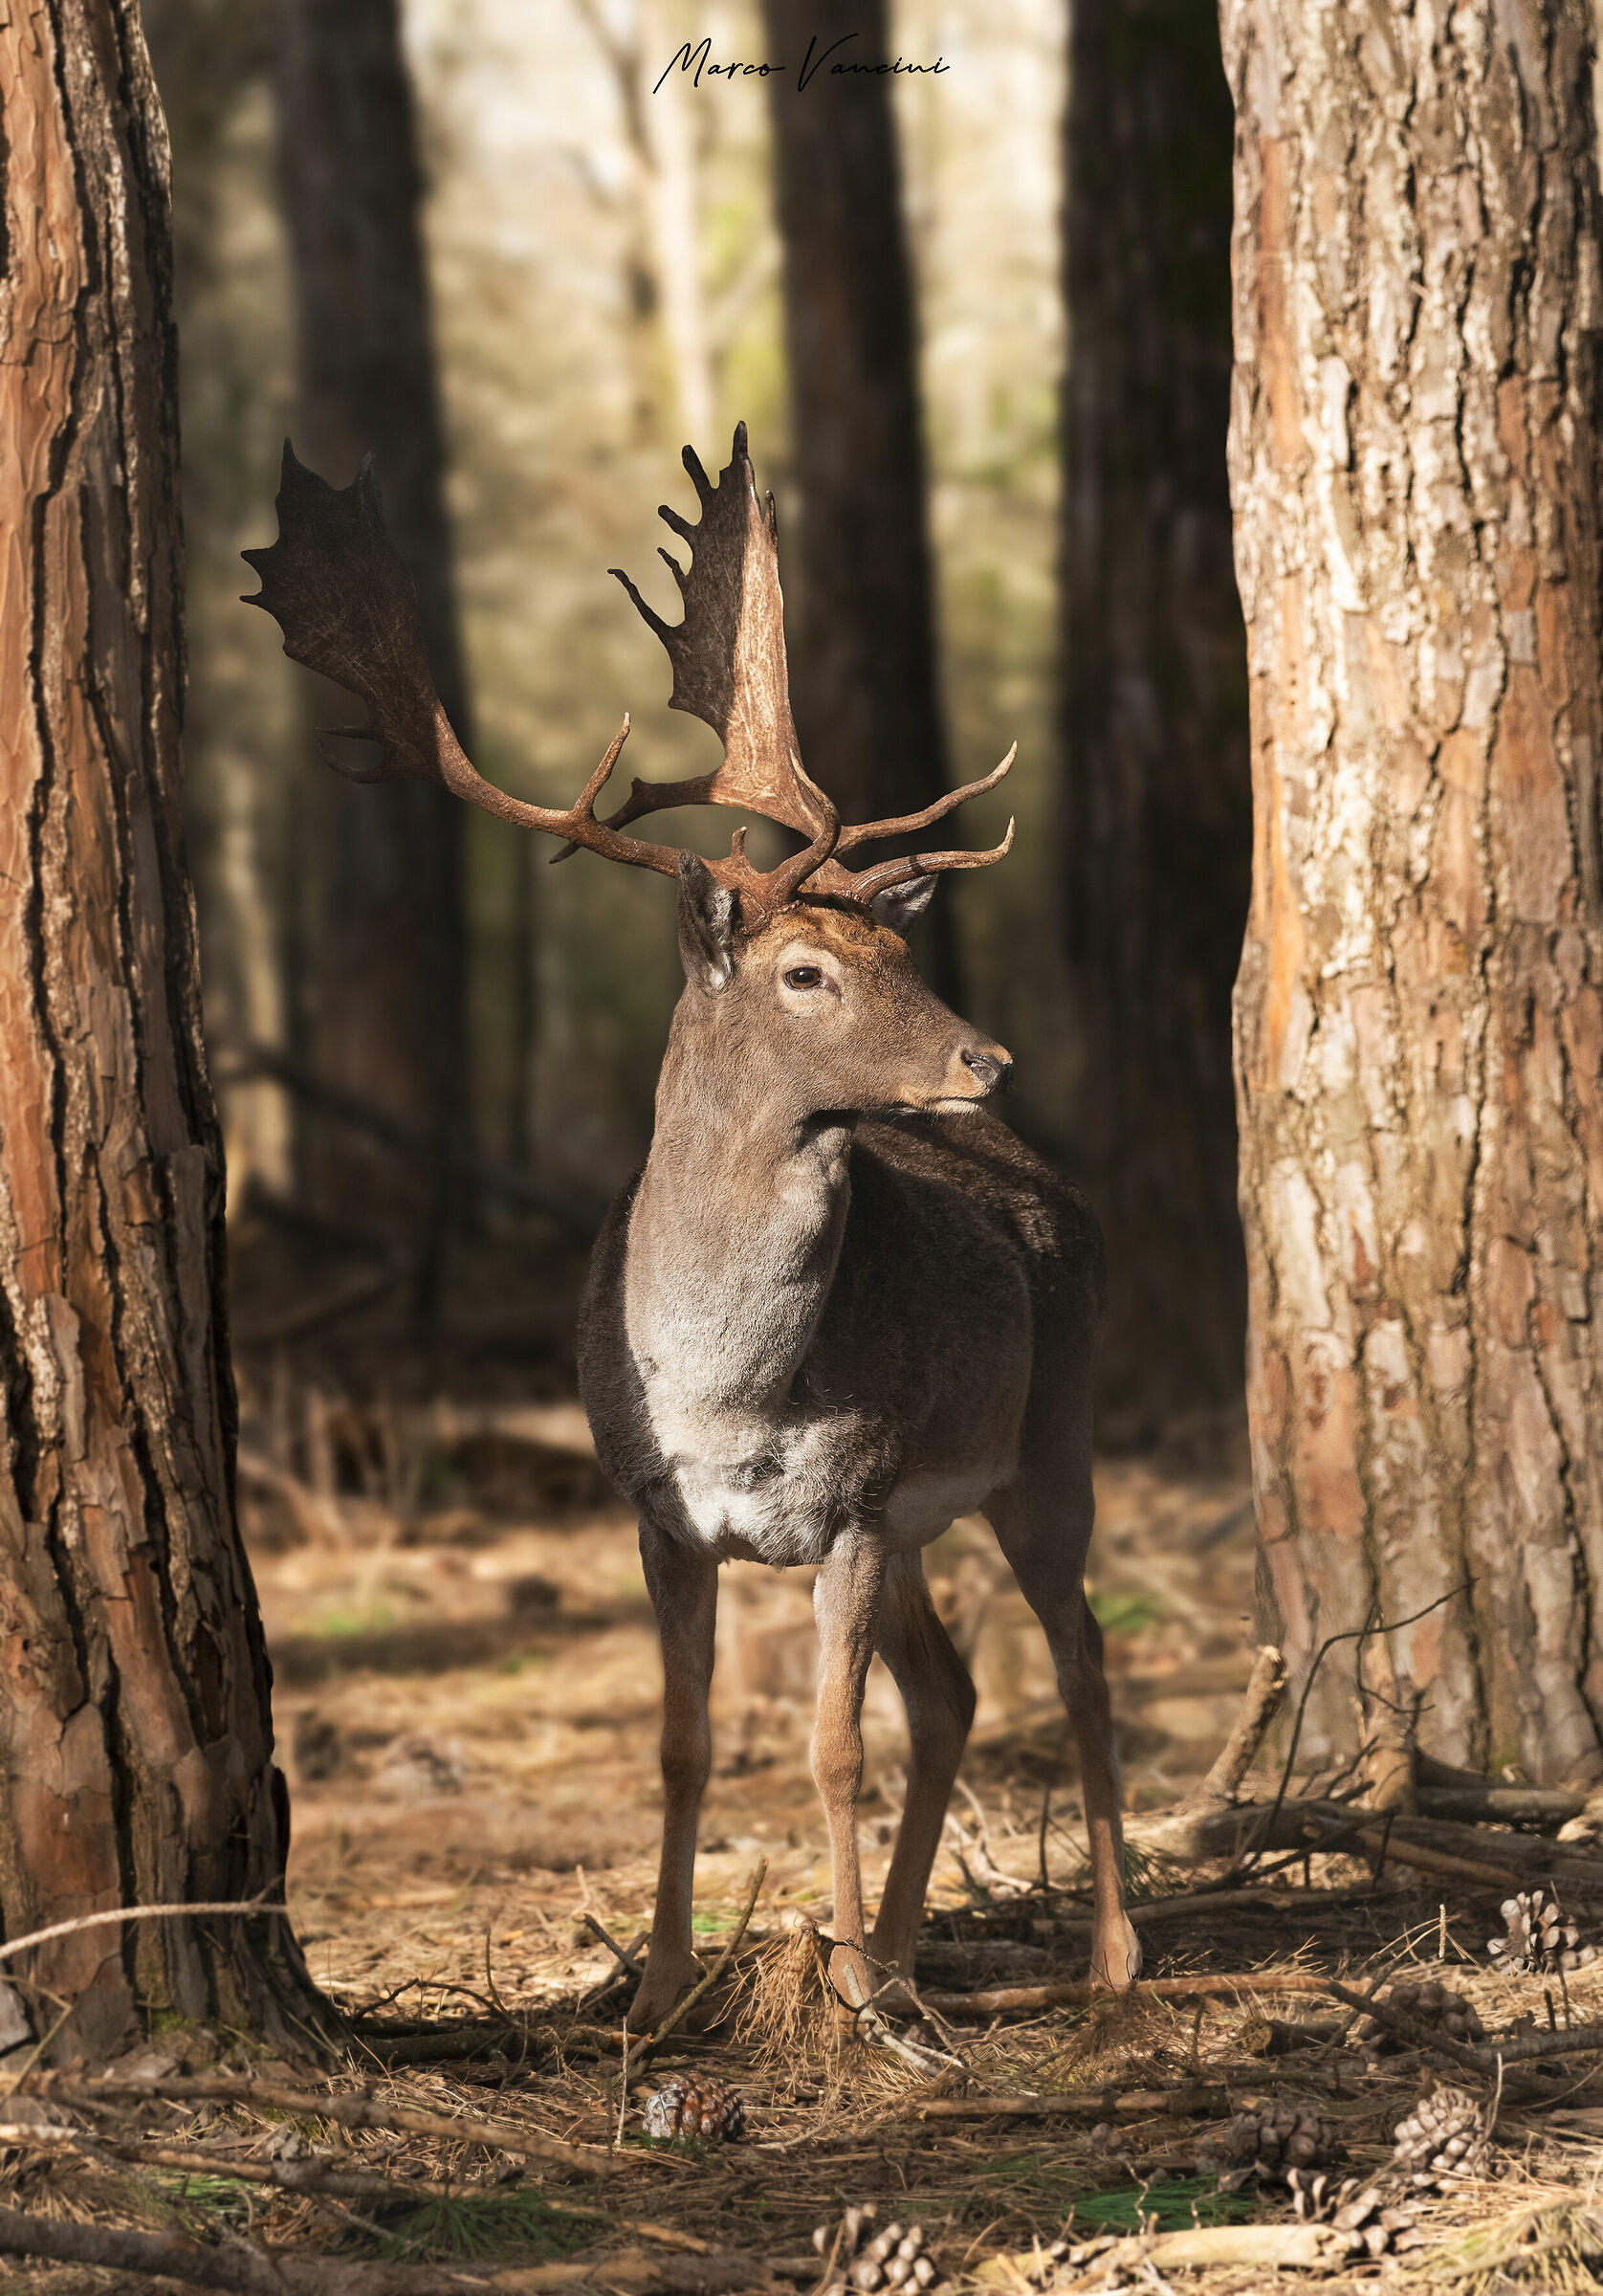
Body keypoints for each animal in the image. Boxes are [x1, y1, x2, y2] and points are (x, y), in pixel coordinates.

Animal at [244, 424, 1141, 2026]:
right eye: (804, 970)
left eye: (894, 941)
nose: (986, 1057)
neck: (726, 1388)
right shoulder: (662, 1514)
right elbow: (683, 1748)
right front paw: (663, 1990)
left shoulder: (853, 1503)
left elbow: (833, 1751)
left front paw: (845, 1999)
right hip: (939, 1512)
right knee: (958, 1689)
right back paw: (905, 1944)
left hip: (1050, 1441)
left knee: (1082, 1657)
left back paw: (1101, 1957)